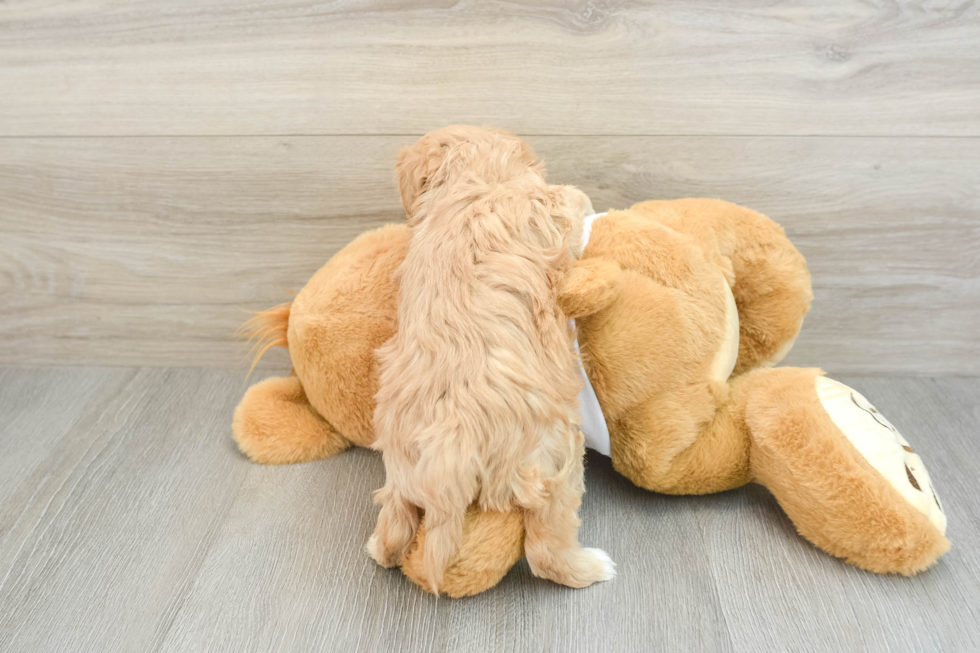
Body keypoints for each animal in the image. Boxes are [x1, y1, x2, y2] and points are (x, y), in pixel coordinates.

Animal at [366, 126, 612, 592]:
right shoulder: (549, 204)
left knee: (395, 524)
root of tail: (449, 449)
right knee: (546, 547)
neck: (476, 182)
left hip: (399, 470)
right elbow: (573, 198)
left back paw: (377, 548)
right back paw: (591, 567)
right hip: (555, 458)